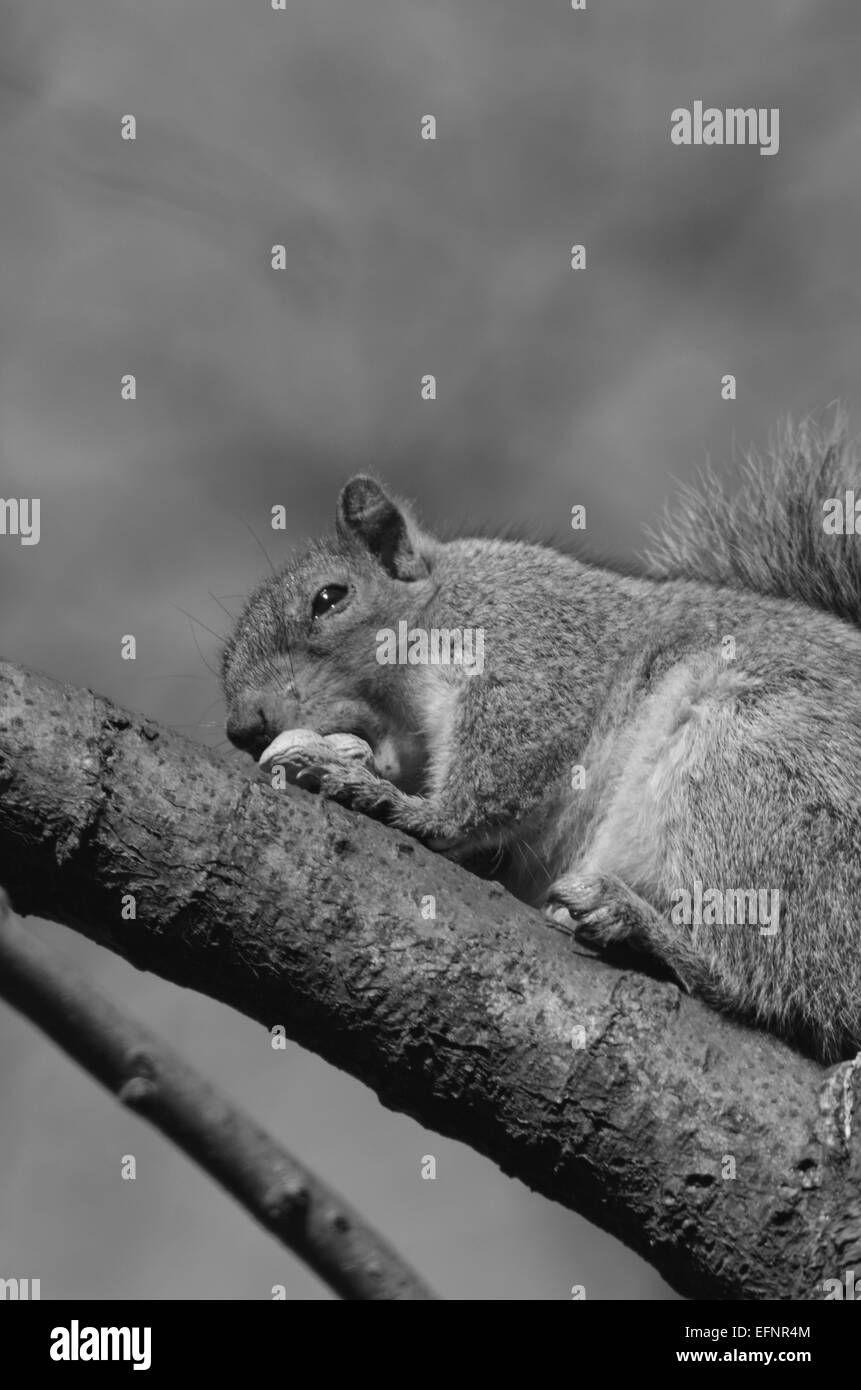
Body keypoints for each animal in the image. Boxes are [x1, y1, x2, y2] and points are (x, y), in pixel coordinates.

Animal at [221, 411, 861, 1061]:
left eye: (329, 598)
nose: (243, 726)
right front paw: (350, 761)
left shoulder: (534, 644)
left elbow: (492, 780)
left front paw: (384, 797)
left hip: (754, 772)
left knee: (768, 980)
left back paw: (636, 927)